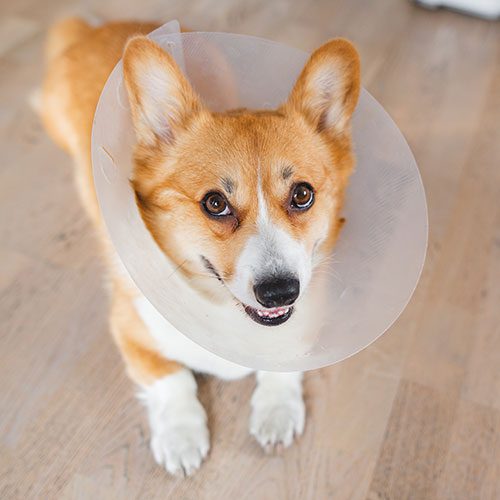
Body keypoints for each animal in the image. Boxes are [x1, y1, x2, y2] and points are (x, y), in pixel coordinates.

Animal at [39, 16, 360, 476]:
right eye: (215, 203)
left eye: (302, 195)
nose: (280, 292)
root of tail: (95, 26)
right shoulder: (130, 331)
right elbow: (174, 380)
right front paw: (180, 439)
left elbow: (284, 364)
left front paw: (276, 412)